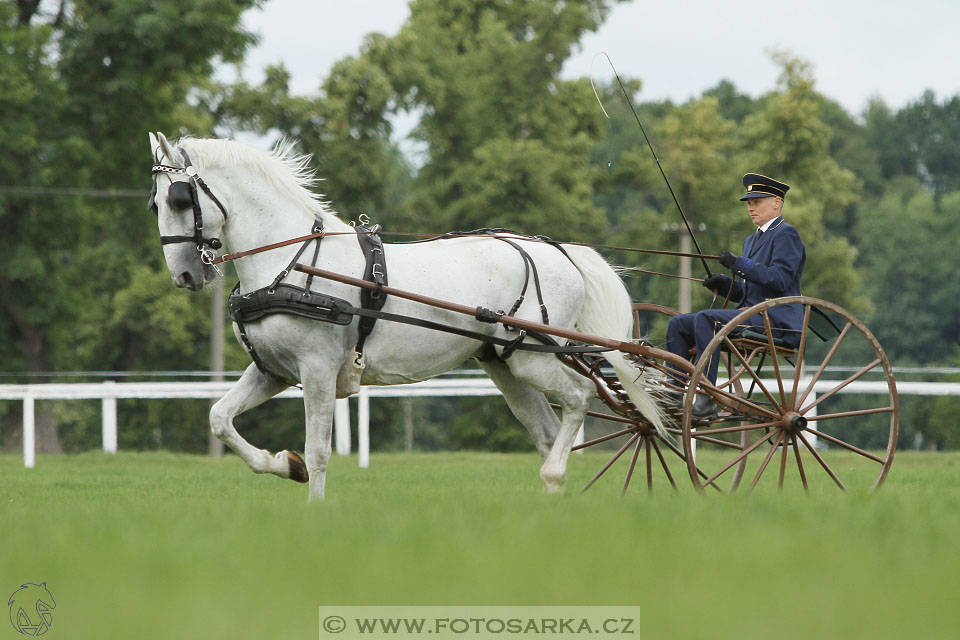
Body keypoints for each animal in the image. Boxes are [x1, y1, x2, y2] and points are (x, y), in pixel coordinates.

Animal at [146, 132, 664, 502]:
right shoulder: (273, 370)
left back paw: (555, 476)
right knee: (547, 430)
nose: (185, 275)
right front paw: (284, 465)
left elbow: (319, 451)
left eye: (178, 199)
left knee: (578, 398)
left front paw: (314, 513)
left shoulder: (316, 369)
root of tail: (559, 251)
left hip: (533, 357)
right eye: (155, 203)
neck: (293, 261)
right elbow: (219, 418)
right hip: (505, 363)